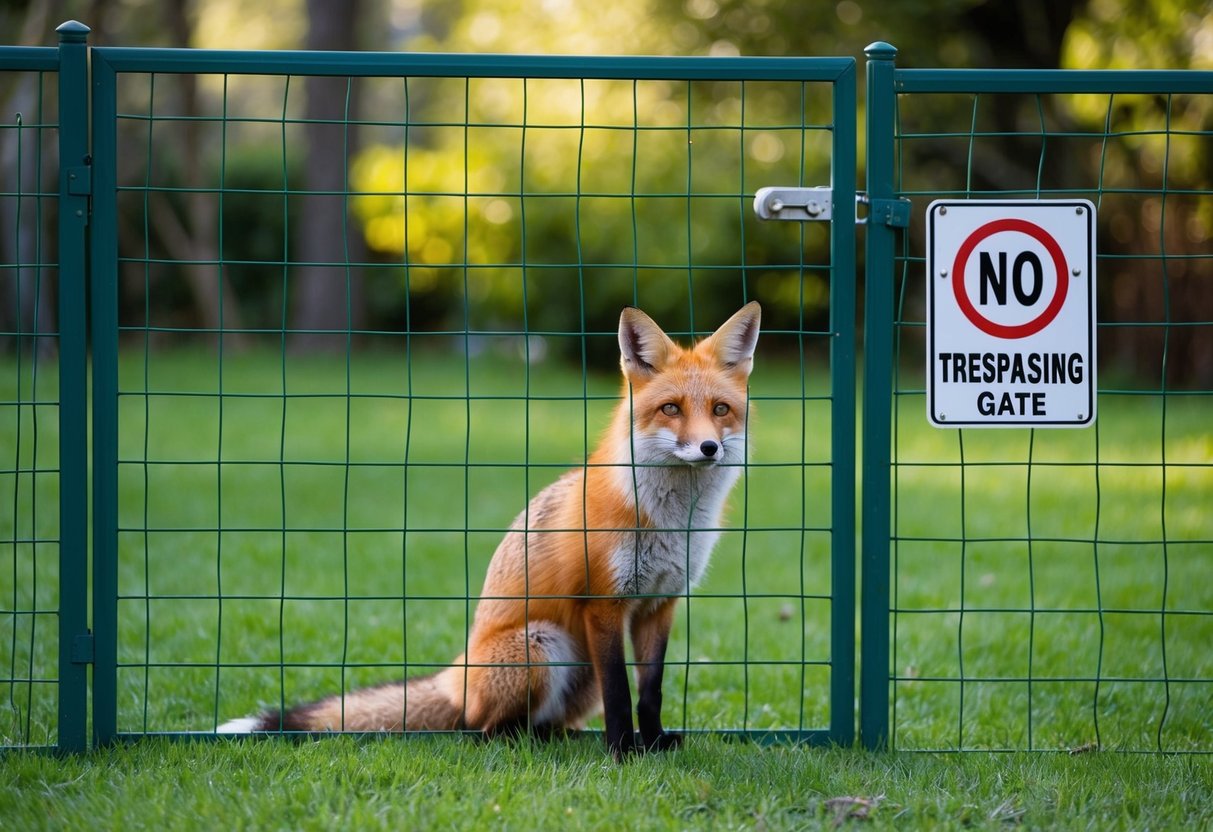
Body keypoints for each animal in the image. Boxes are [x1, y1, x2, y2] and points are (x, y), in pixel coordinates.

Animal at [218, 301, 760, 758]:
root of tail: (456, 675)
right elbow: (621, 693)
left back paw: (558, 735)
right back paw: (524, 741)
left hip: (576, 671)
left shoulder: (659, 604)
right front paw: (623, 752)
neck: (671, 521)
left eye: (720, 410)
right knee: (480, 731)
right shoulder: (604, 603)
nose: (709, 448)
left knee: (540, 720)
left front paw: (652, 744)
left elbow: (649, 690)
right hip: (543, 644)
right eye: (671, 409)